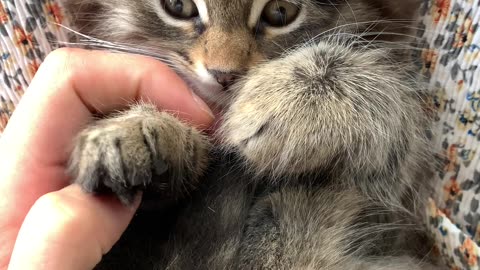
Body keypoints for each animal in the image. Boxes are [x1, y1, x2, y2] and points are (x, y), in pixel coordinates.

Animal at [59, 0, 442, 268]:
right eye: (178, 6)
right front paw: (136, 130)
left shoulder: (393, 206)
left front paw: (287, 99)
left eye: (281, 11)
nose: (224, 74)